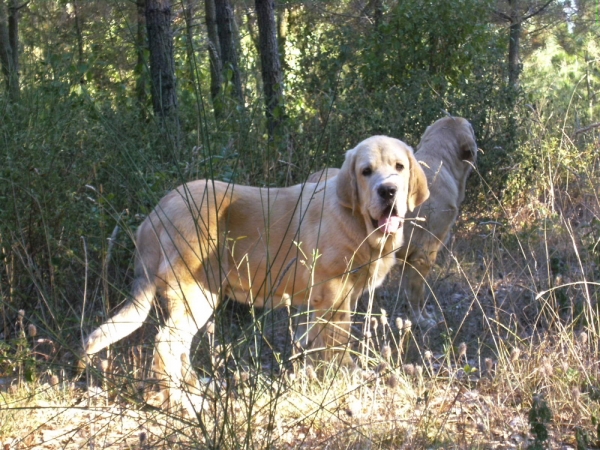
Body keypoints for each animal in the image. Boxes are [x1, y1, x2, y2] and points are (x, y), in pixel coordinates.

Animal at [85, 134, 432, 408]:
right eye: (366, 172)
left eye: (399, 167)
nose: (388, 191)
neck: (357, 222)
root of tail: (154, 215)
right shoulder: (332, 298)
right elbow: (337, 343)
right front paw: (343, 380)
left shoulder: (334, 301)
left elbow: (320, 344)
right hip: (196, 294)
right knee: (166, 344)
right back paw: (186, 403)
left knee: (177, 348)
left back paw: (196, 390)